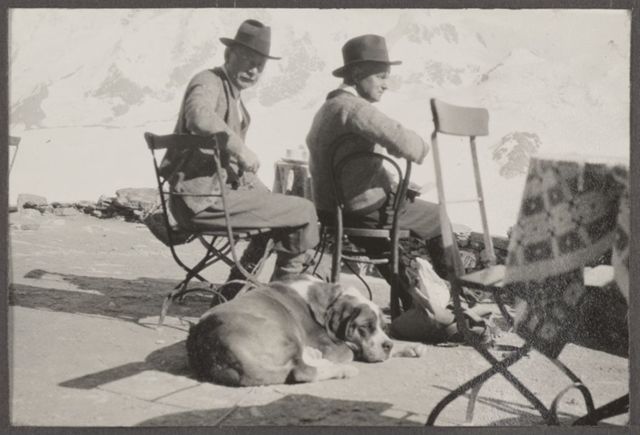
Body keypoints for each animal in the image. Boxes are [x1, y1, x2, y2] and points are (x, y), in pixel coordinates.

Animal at [186, 276, 396, 386]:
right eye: (365, 327)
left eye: (384, 327)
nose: (388, 345)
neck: (330, 300)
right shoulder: (329, 345)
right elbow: (348, 351)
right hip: (286, 332)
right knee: (301, 370)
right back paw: (342, 369)